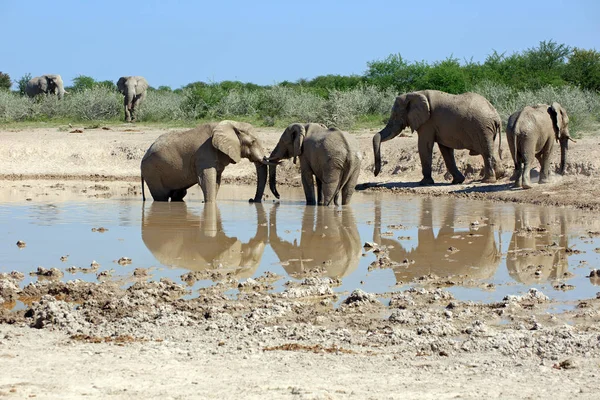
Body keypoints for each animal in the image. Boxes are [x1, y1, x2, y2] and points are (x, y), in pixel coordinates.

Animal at [139, 119, 270, 202]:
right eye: (252, 142)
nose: (251, 200)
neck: (230, 124)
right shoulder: (204, 155)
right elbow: (207, 181)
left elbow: (216, 181)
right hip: (152, 173)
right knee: (161, 196)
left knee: (179, 195)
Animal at [372, 90, 504, 185]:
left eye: (395, 115)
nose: (375, 173)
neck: (413, 94)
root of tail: (497, 116)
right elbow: (445, 150)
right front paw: (457, 181)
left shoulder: (428, 123)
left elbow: (424, 145)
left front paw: (424, 183)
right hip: (486, 129)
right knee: (488, 150)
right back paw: (499, 175)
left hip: (482, 128)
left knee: (486, 151)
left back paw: (487, 181)